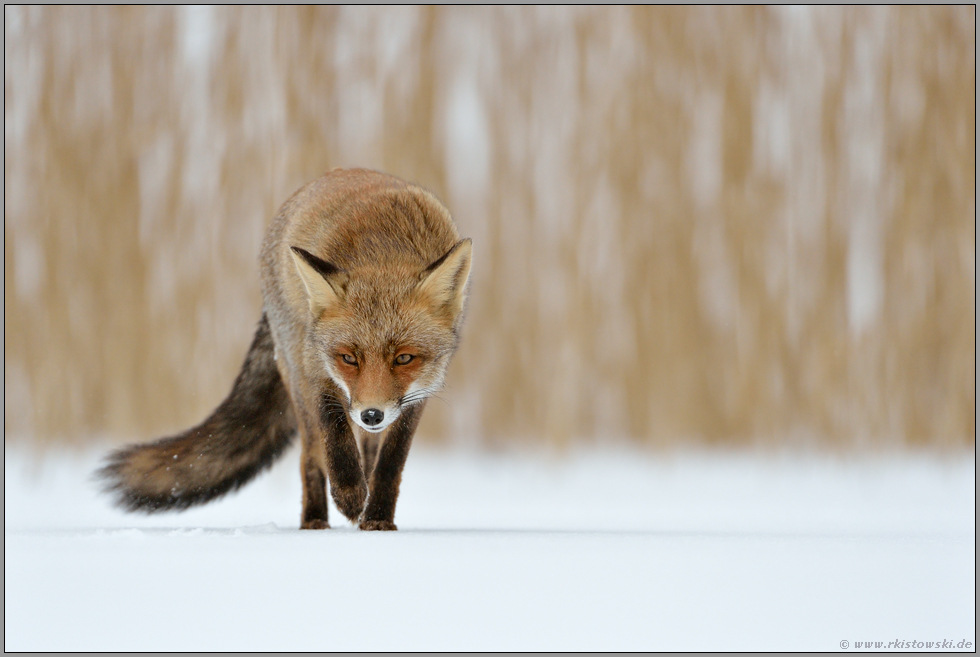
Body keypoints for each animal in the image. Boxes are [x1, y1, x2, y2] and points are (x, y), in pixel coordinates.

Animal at [99, 168, 472, 530]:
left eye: (404, 358)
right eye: (348, 358)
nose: (371, 415)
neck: (384, 249)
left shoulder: (419, 393)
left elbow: (390, 462)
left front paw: (377, 516)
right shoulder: (315, 368)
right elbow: (336, 440)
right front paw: (350, 496)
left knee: (366, 453)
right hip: (296, 376)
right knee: (311, 456)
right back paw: (315, 521)